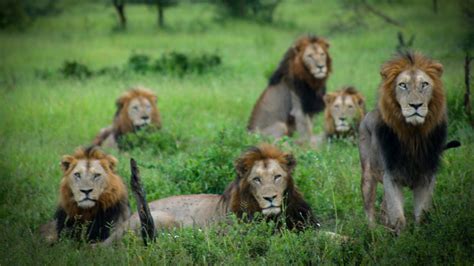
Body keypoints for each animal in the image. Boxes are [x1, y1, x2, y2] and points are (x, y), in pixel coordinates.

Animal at [360, 51, 460, 233]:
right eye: (402, 85)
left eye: (424, 84)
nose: (415, 105)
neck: (413, 135)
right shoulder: (391, 176)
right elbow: (398, 216)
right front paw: (402, 237)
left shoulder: (426, 177)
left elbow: (422, 214)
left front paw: (420, 235)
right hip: (367, 174)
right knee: (369, 207)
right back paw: (374, 232)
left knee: (383, 206)